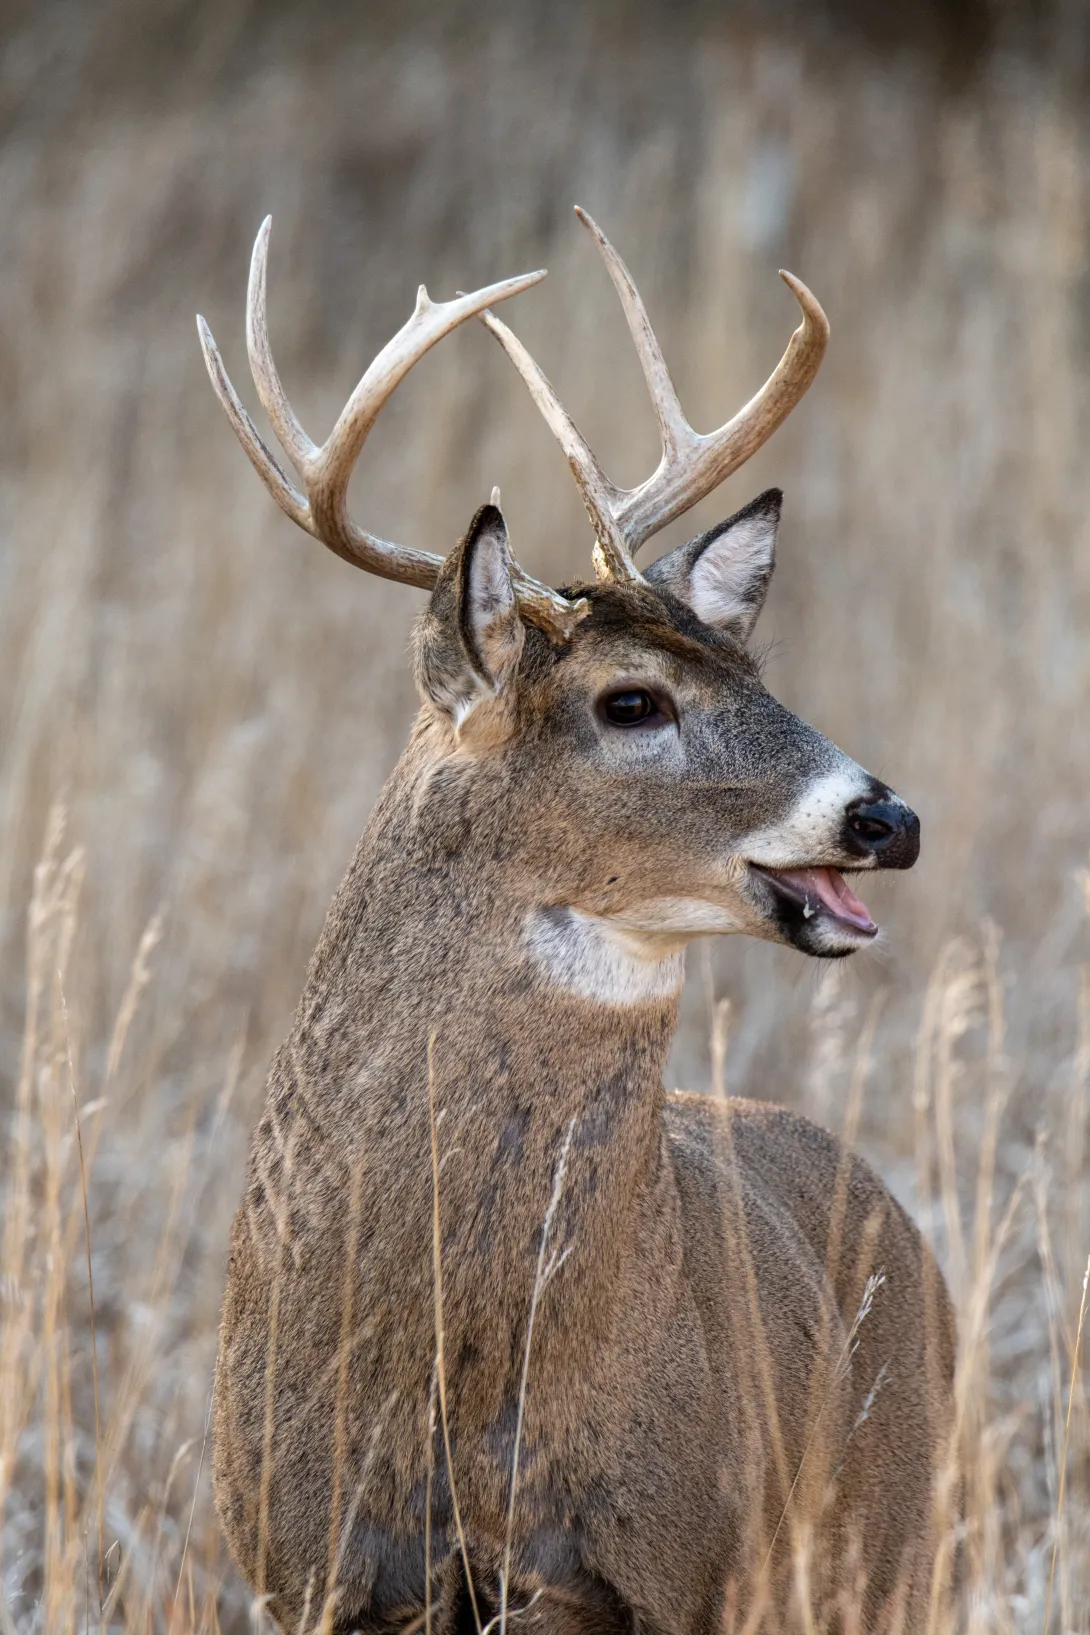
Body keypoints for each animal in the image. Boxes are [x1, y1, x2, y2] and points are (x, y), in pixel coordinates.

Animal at [197, 208, 956, 1635]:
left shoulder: (665, 1565)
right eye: (631, 701)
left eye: (757, 670)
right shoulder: (303, 1562)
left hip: (886, 1552)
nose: (887, 818)